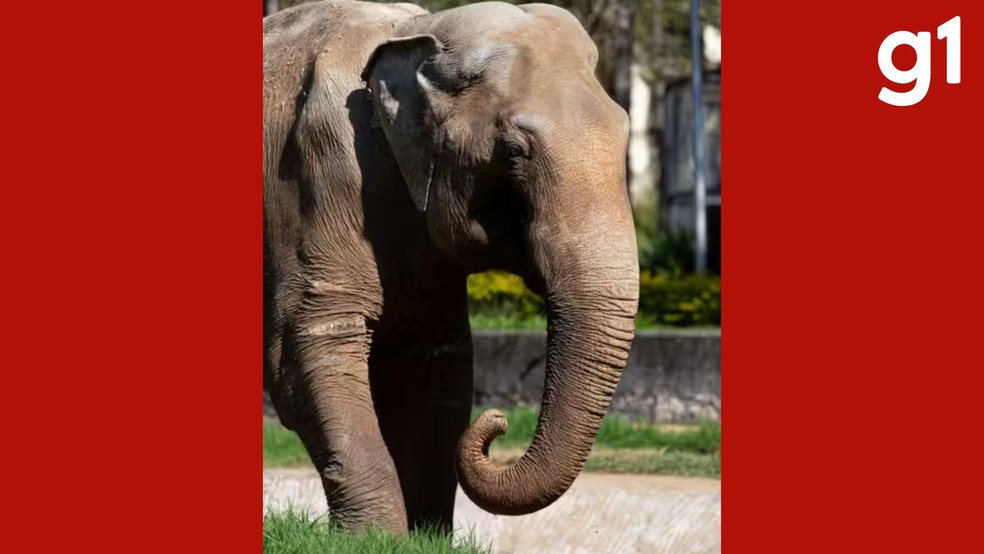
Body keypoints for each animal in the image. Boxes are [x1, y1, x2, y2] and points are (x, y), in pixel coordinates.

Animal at [263, 0, 640, 534]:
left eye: (625, 135)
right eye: (513, 153)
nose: (498, 422)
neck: (415, 32)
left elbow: (437, 360)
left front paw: (423, 536)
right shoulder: (314, 179)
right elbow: (307, 346)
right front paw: (373, 536)